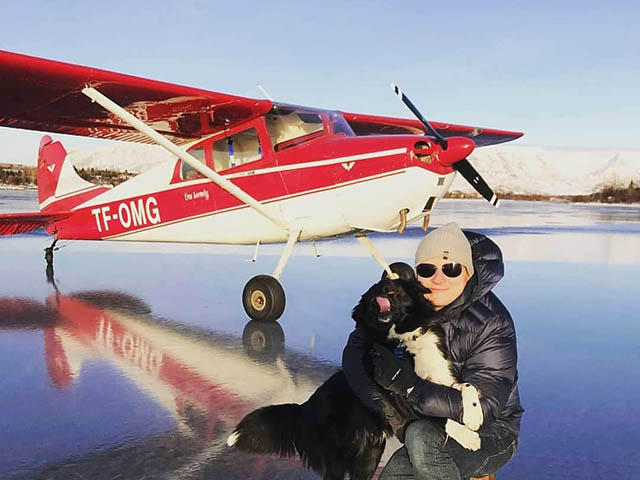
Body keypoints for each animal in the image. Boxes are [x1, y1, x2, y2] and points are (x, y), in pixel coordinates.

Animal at [227, 277, 433, 480]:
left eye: (395, 290)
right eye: (373, 294)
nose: (385, 290)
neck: (388, 339)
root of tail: (303, 409)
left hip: (369, 456)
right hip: (338, 457)